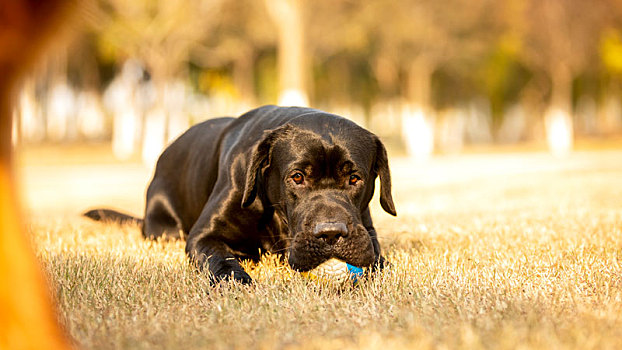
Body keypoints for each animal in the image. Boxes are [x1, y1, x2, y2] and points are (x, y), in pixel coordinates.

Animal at [85, 105, 398, 284]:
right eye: (297, 177)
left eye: (354, 178)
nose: (331, 233)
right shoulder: (203, 236)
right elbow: (219, 259)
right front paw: (236, 279)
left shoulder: (367, 231)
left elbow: (377, 259)